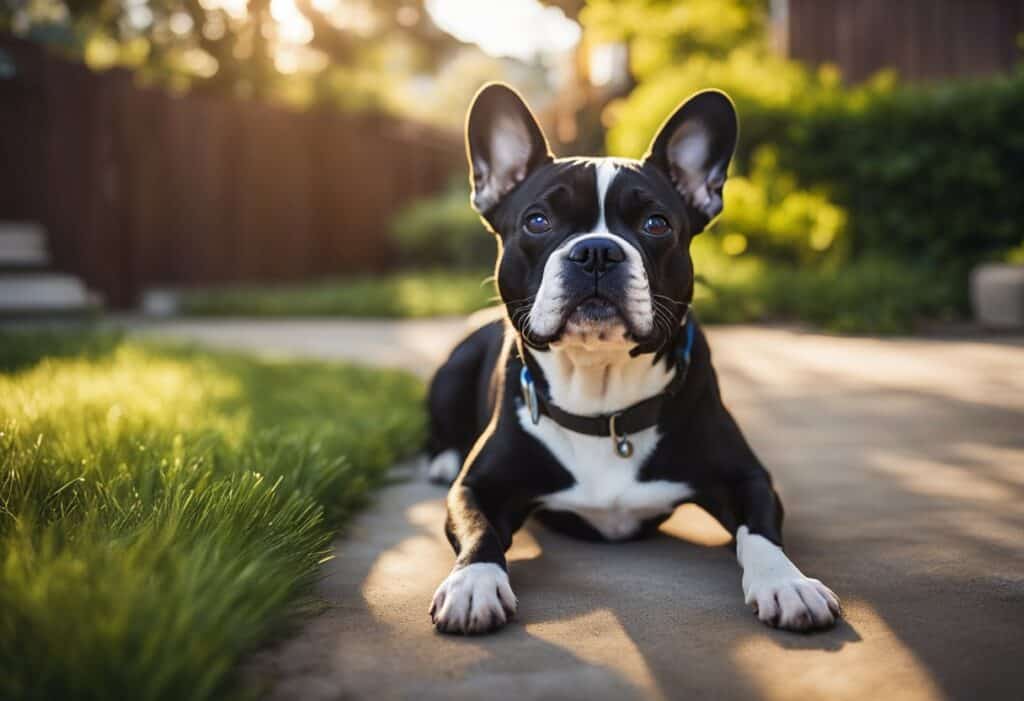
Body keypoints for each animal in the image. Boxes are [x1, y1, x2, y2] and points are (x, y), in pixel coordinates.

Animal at [423, 83, 839, 634]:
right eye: (537, 221)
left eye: (656, 224)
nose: (597, 250)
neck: (603, 400)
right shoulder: (477, 487)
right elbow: (476, 528)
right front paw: (473, 582)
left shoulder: (747, 478)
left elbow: (762, 532)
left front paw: (788, 582)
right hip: (451, 371)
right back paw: (441, 460)